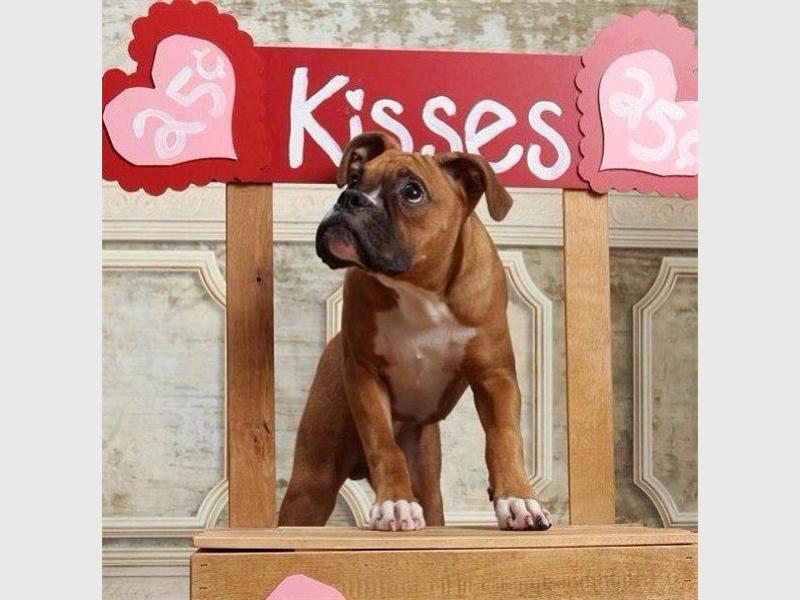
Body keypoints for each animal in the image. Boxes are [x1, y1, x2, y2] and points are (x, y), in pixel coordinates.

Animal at [278, 131, 551, 532]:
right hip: (312, 482)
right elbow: (383, 444)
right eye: (355, 178)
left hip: (428, 480)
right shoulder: (365, 376)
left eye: (412, 192)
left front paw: (518, 499)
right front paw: (395, 504)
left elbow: (503, 437)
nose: (349, 199)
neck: (419, 288)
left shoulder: (495, 377)